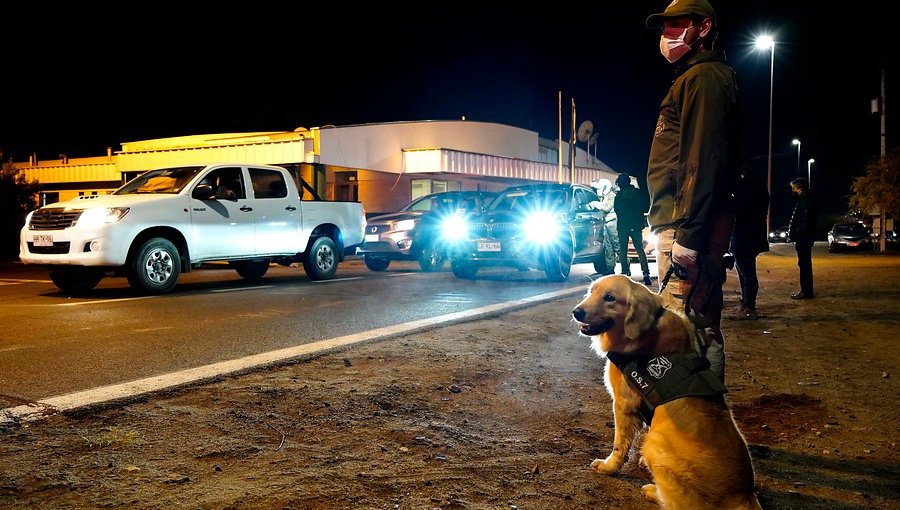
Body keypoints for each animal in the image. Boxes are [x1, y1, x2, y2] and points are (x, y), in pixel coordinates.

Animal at [572, 276, 756, 508]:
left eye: (610, 298)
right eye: (591, 291)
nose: (576, 312)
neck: (646, 330)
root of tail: (745, 496)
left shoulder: (623, 405)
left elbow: (619, 445)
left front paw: (609, 467)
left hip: (654, 444)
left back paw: (653, 491)